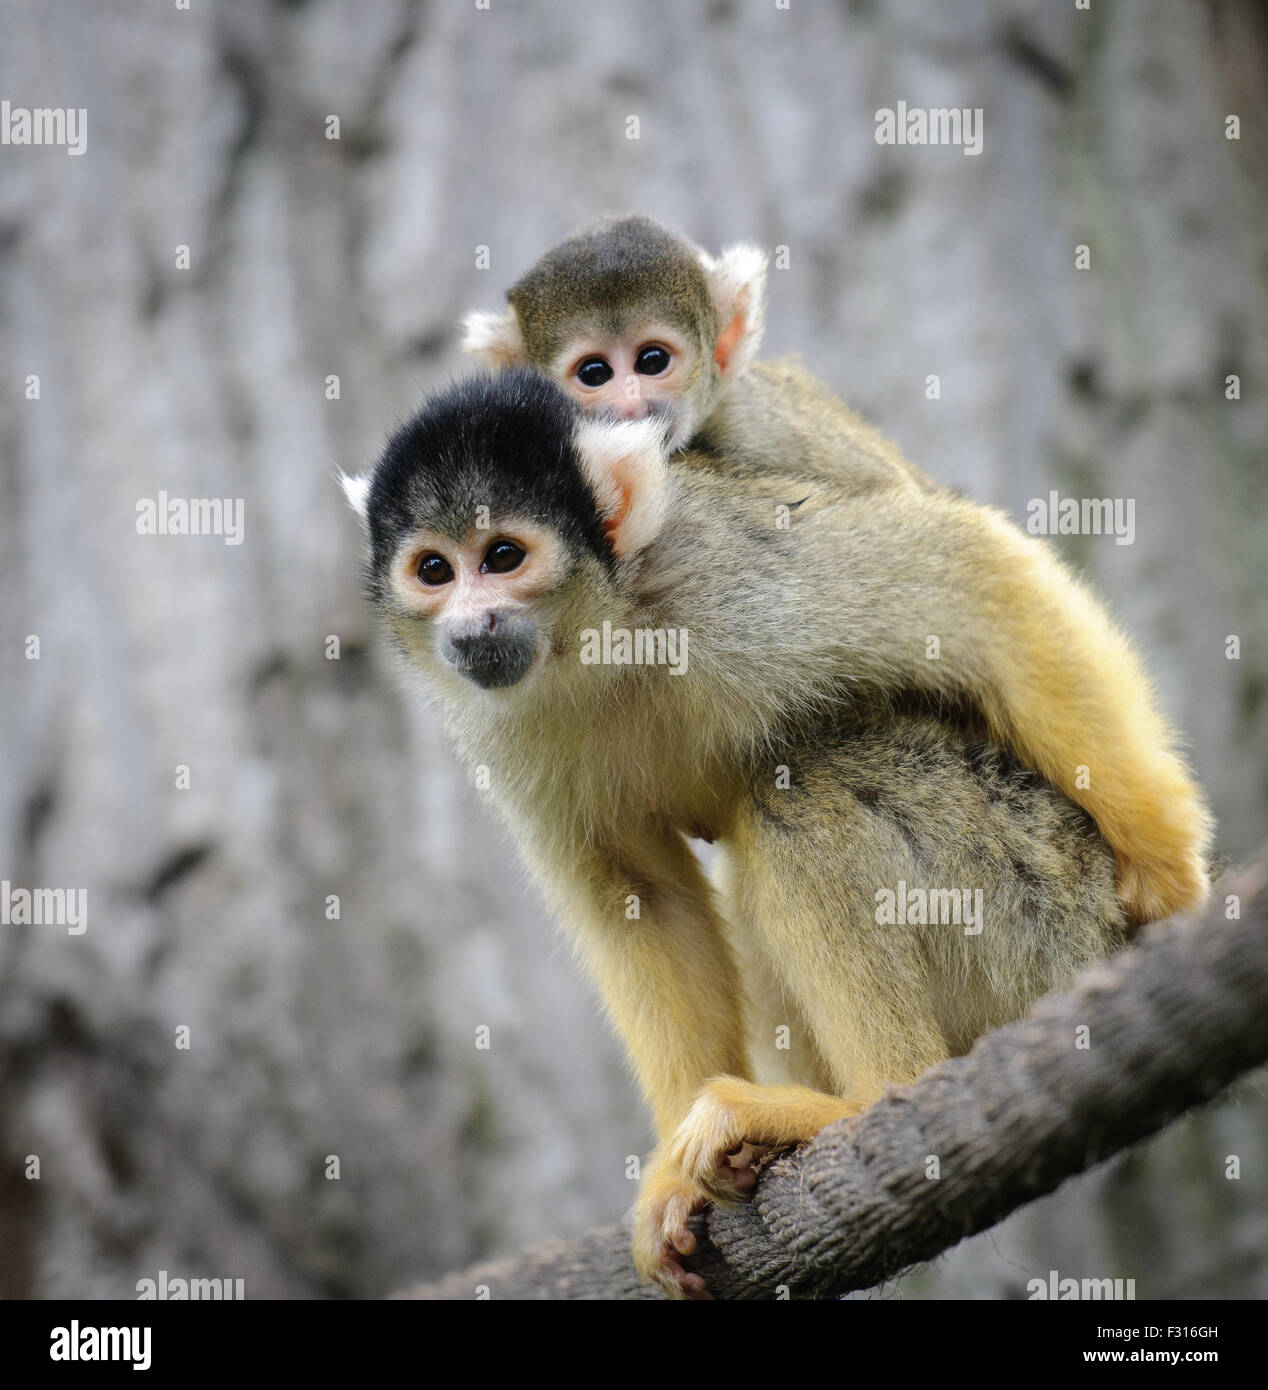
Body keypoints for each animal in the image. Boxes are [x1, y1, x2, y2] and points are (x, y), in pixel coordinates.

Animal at [342, 375, 1173, 1295]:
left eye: (502, 558)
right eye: (434, 570)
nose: (472, 623)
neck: (594, 633)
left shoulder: (722, 568)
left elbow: (967, 572)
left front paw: (1171, 866)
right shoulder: (497, 722)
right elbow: (637, 895)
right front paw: (669, 1180)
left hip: (1034, 897)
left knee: (803, 780)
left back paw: (875, 1094)